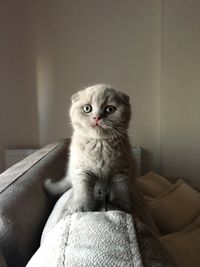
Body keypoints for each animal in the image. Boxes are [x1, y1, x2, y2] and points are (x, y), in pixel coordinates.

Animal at [45, 85, 141, 217]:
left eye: (110, 109)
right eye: (87, 108)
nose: (97, 117)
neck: (99, 144)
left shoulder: (122, 169)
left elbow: (121, 187)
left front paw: (120, 204)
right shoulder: (81, 170)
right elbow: (83, 189)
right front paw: (81, 206)